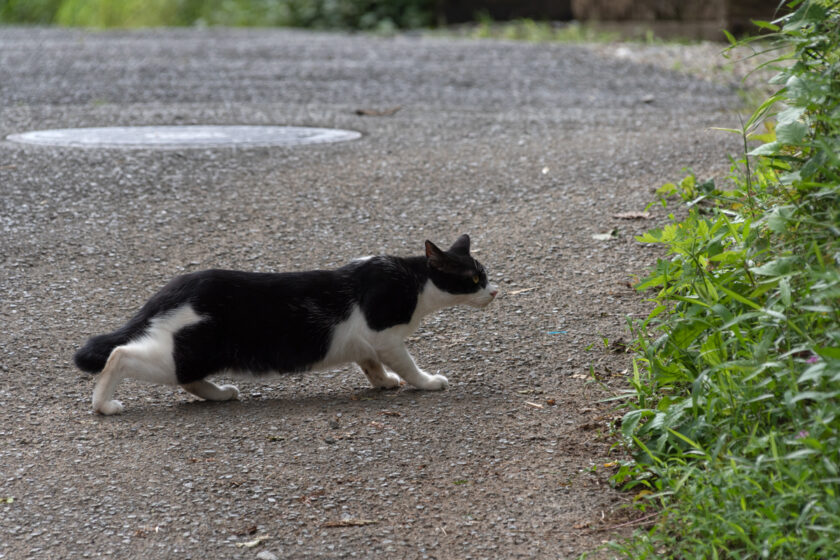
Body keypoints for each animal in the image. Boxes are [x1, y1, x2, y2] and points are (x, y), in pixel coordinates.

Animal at [74, 234, 498, 414]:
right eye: (475, 278)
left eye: (486, 274)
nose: (495, 291)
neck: (412, 280)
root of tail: (172, 289)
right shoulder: (386, 337)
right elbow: (407, 365)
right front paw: (427, 382)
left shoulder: (367, 344)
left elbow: (370, 364)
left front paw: (383, 382)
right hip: (186, 349)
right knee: (120, 355)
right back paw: (103, 405)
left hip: (195, 354)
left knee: (187, 378)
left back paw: (219, 394)